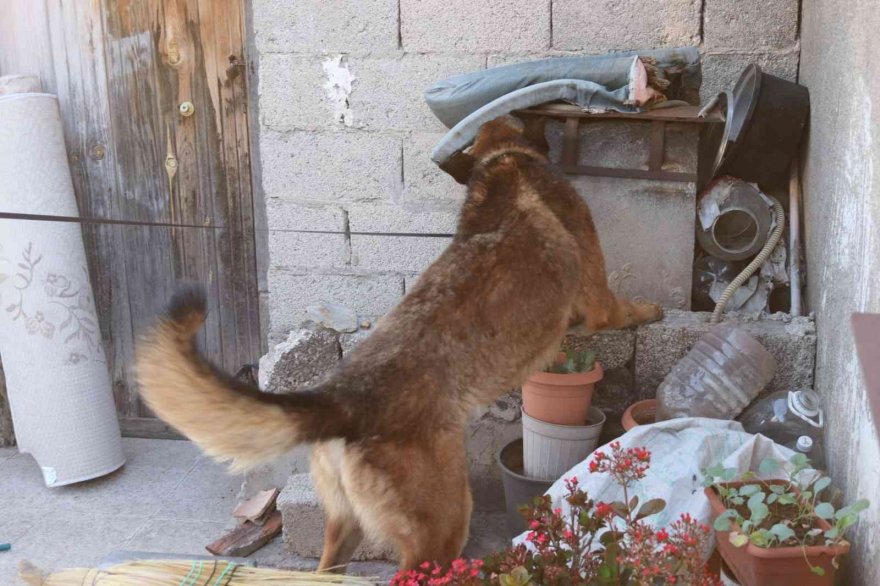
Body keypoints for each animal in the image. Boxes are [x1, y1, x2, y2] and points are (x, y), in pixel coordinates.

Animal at [136, 115, 660, 572]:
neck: (503, 159)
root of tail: (340, 399)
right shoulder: (599, 301)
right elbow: (625, 308)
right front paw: (652, 310)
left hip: (344, 526)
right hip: (443, 525)